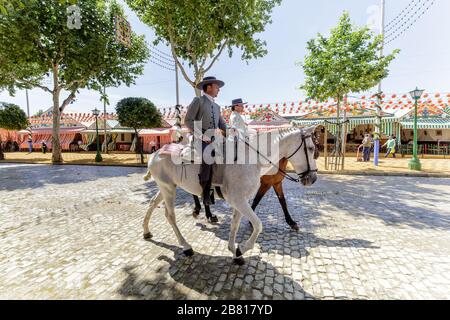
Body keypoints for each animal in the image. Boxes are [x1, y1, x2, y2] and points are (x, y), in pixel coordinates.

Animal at [142, 126, 318, 264]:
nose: (313, 179)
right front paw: (242, 249)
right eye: (311, 148)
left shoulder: (242, 200)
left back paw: (146, 231)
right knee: (170, 215)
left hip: (165, 187)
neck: (252, 160)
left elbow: (235, 224)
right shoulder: (239, 200)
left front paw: (234, 251)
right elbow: (258, 225)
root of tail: (156, 153)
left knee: (152, 203)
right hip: (168, 189)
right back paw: (186, 246)